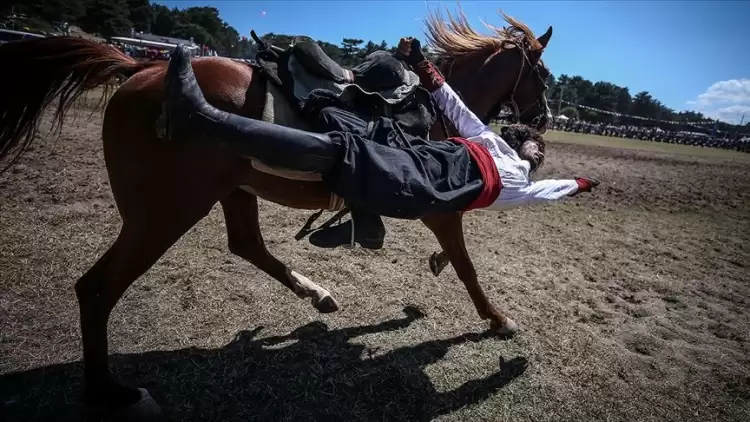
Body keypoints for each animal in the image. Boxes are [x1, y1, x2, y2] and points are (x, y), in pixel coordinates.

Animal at [0, 9, 552, 418]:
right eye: (544, 76)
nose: (544, 118)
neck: (431, 112)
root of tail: (142, 69)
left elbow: (455, 259)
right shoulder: (441, 202)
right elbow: (466, 264)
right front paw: (497, 319)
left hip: (229, 192)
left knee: (245, 244)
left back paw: (318, 294)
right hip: (164, 212)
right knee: (97, 287)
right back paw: (110, 391)